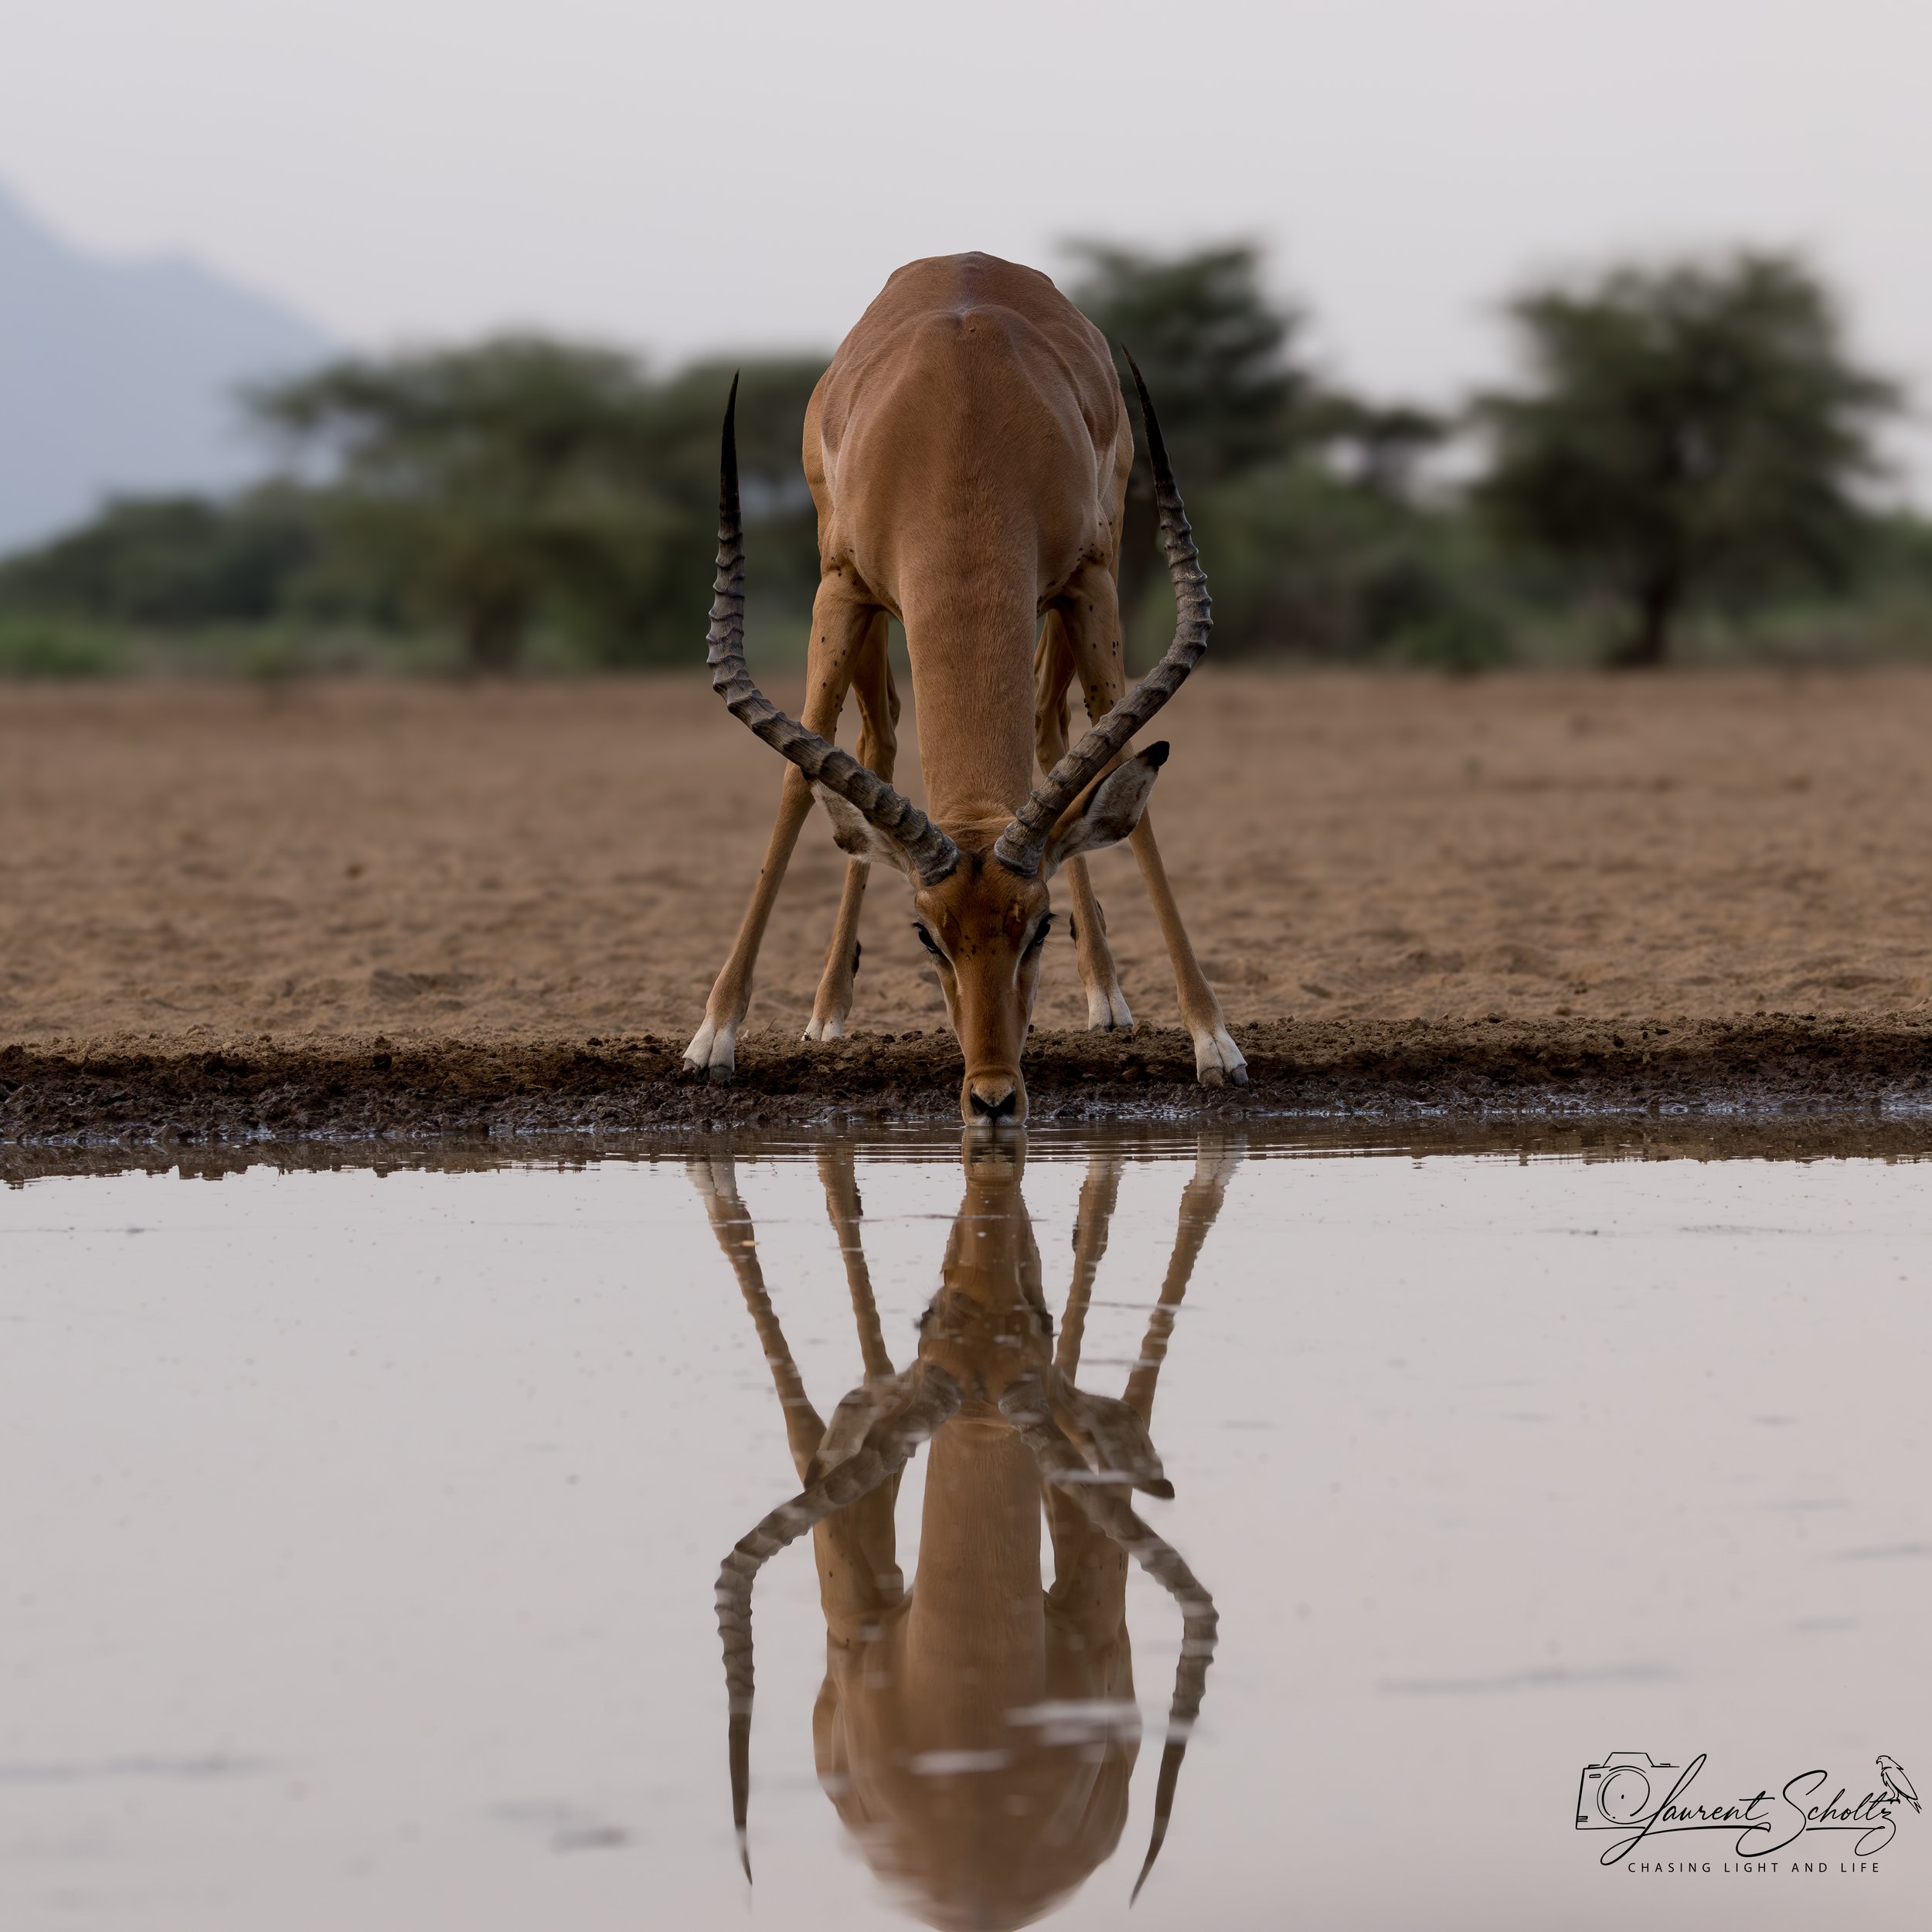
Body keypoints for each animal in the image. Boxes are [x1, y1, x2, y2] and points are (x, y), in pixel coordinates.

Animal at [683, 252, 1248, 1124]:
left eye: (1039, 924)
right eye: (927, 934)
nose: (991, 1096)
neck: (961, 424)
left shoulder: (1090, 582)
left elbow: (1120, 767)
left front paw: (1214, 1042)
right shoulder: (839, 589)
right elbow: (796, 776)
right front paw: (711, 1041)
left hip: (1088, 574)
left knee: (1053, 730)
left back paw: (1106, 997)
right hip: (865, 608)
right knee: (878, 740)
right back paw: (826, 1013)